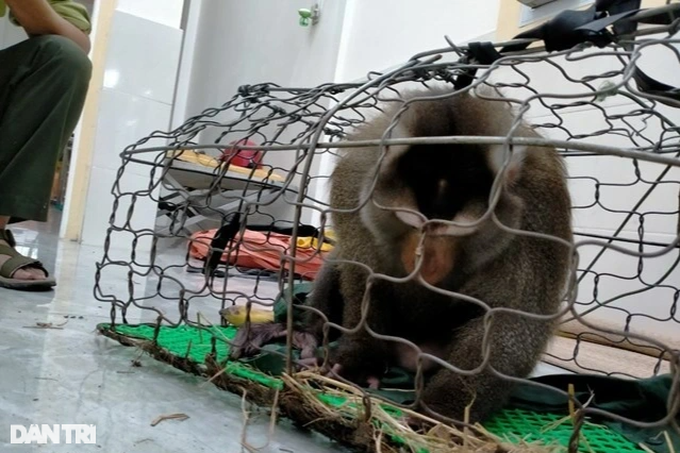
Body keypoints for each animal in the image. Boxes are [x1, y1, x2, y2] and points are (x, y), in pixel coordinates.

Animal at [229, 87, 573, 425]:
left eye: (450, 233)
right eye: (412, 224)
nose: (425, 260)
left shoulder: (539, 205)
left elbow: (515, 316)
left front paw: (442, 409)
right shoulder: (358, 176)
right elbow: (363, 271)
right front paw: (360, 360)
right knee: (341, 257)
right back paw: (304, 334)